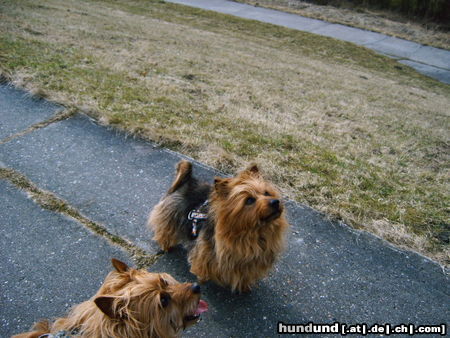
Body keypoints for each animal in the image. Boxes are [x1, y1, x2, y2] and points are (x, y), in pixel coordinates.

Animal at [148, 160, 288, 292]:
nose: (275, 202)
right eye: (249, 200)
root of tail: (188, 181)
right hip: (170, 216)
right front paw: (202, 278)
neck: (253, 232)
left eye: (267, 193)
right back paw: (166, 246)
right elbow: (203, 265)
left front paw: (244, 286)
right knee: (165, 230)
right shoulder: (207, 252)